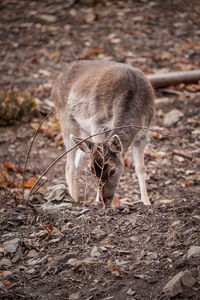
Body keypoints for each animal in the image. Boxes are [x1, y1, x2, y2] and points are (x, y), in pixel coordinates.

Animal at [51, 60, 155, 206]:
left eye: (113, 171)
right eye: (91, 170)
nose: (104, 200)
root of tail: (56, 84)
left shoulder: (143, 133)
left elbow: (140, 168)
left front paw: (147, 202)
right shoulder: (98, 124)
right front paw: (96, 201)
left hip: (84, 131)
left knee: (77, 162)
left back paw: (75, 198)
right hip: (65, 117)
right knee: (69, 165)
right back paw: (73, 199)